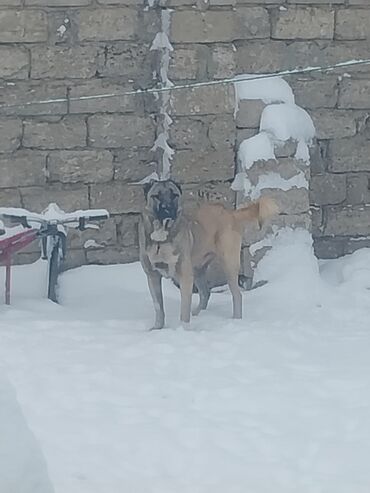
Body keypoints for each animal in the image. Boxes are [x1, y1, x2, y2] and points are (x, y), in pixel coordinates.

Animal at [139, 179, 278, 328]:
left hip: (228, 264)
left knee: (237, 295)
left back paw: (236, 320)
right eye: (157, 195)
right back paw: (198, 314)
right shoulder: (152, 276)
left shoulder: (185, 276)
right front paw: (157, 328)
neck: (161, 240)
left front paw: (183, 329)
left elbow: (184, 310)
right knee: (206, 293)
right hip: (198, 269)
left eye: (174, 195)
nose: (168, 209)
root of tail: (230, 213)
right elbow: (158, 306)